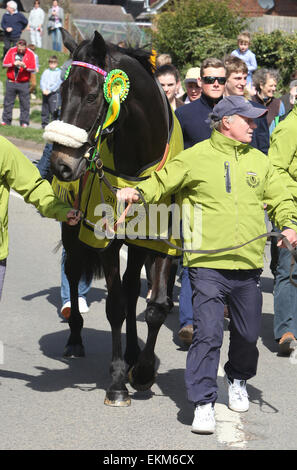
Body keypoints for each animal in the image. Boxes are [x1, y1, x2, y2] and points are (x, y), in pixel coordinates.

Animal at [47, 27, 182, 406]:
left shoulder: (161, 242)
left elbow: (156, 306)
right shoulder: (104, 240)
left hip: (135, 245)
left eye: (93, 95)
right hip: (72, 233)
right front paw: (119, 381)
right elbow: (116, 307)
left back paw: (135, 352)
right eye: (61, 93)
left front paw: (144, 371)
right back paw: (75, 340)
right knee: (73, 272)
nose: (62, 165)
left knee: (133, 286)